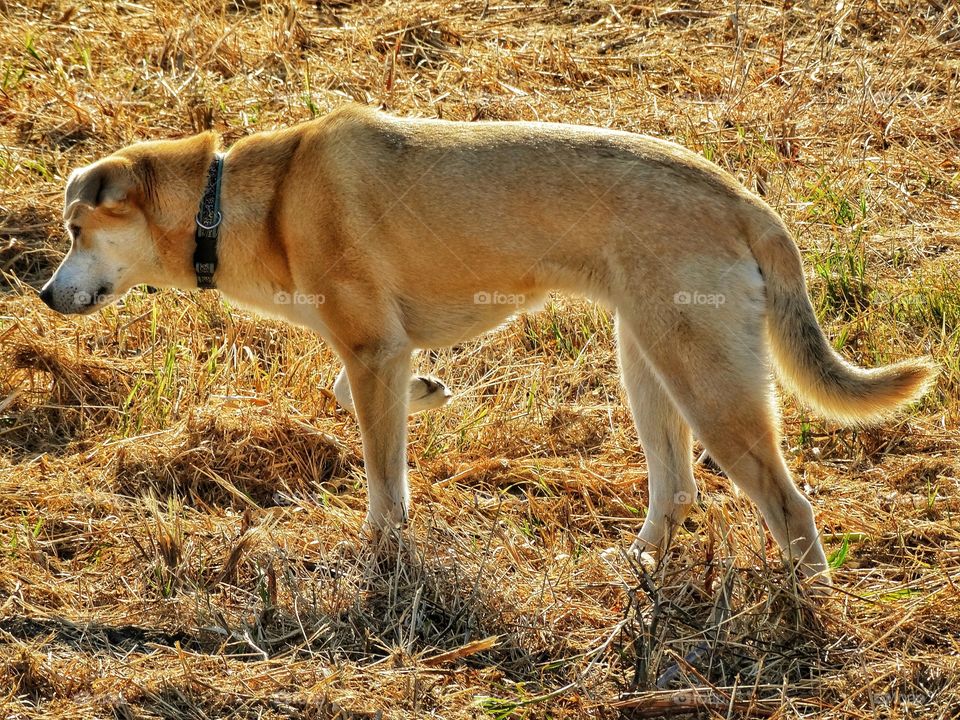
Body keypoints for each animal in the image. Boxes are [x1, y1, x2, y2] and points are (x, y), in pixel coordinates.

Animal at [41, 104, 932, 584]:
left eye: (77, 229)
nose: (45, 297)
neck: (236, 202)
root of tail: (745, 199)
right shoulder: (379, 351)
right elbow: (355, 393)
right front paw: (430, 393)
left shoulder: (371, 347)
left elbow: (383, 478)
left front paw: (383, 553)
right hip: (647, 362)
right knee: (677, 490)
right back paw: (637, 569)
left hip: (706, 383)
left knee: (789, 505)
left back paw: (805, 608)